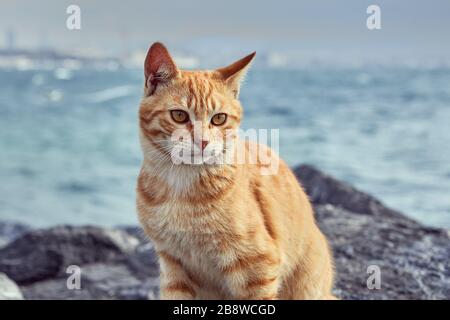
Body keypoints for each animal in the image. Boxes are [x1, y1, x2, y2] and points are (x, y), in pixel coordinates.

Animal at [135, 42, 336, 300]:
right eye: (179, 115)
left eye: (219, 119)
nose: (202, 142)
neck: (180, 186)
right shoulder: (173, 266)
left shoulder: (258, 266)